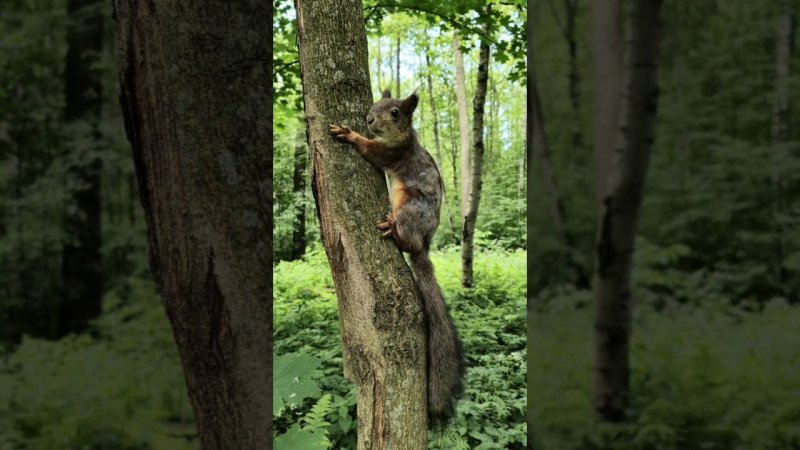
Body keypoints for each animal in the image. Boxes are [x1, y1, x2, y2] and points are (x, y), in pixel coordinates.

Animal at [328, 88, 466, 428]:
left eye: (395, 112)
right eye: (374, 105)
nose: (368, 119)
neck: (402, 136)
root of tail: (424, 246)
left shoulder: (394, 153)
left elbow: (371, 151)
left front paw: (348, 133)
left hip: (409, 209)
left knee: (407, 239)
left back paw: (395, 231)